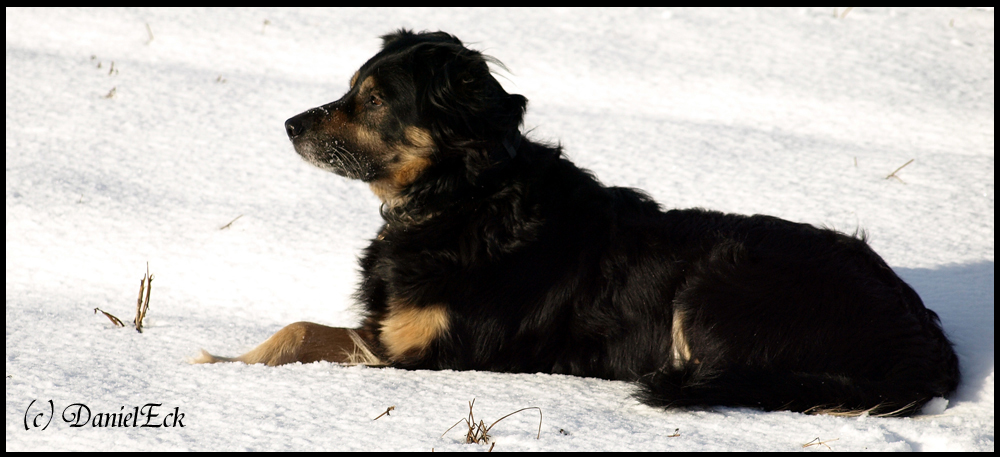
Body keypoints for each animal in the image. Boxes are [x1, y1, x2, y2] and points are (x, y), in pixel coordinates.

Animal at [195, 26, 960, 416]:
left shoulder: (438, 354)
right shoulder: (392, 334)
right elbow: (299, 330)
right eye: (352, 87)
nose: (289, 125)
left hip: (718, 285)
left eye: (376, 98)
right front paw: (224, 363)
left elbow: (313, 337)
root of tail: (924, 339)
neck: (463, 197)